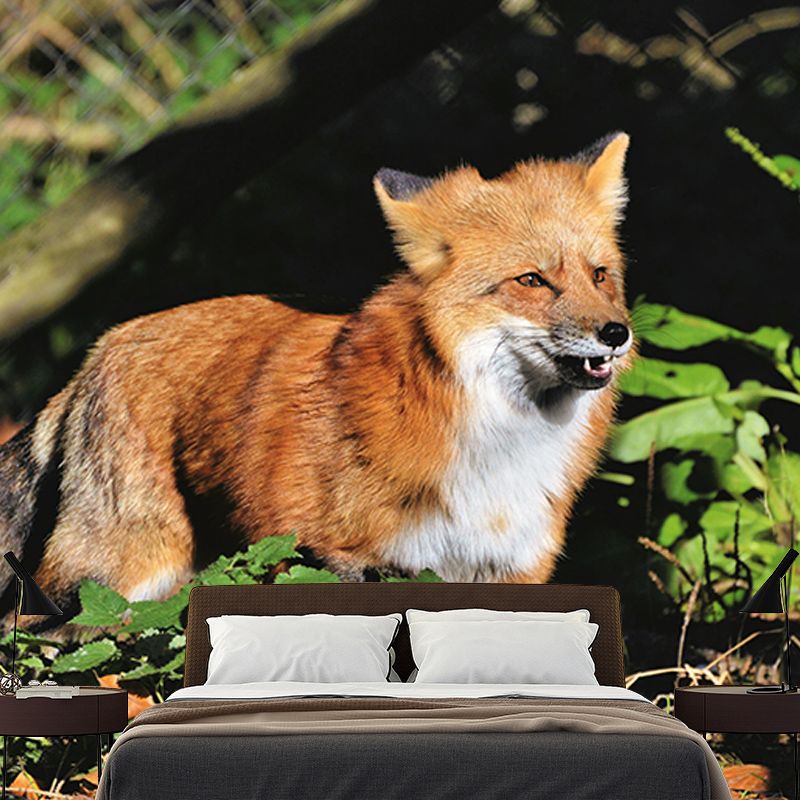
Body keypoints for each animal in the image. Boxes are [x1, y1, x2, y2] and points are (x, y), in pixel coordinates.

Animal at [0, 132, 634, 616]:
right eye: (531, 280)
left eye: (599, 275)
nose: (617, 333)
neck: (499, 448)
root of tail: (103, 344)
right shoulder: (329, 556)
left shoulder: (504, 573)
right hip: (118, 576)